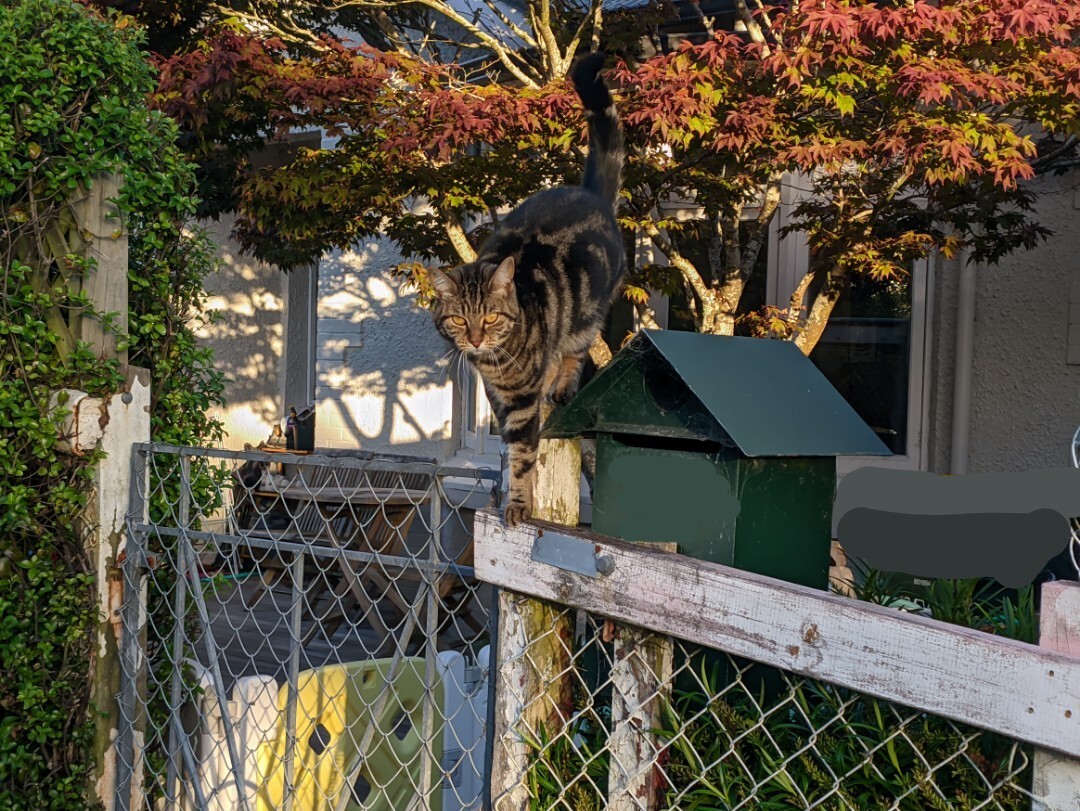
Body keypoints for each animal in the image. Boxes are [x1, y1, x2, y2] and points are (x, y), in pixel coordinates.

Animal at [425, 55, 622, 526]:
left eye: (491, 317)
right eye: (459, 319)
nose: (476, 339)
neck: (497, 361)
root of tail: (588, 193)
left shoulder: (521, 400)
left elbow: (523, 455)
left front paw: (519, 503)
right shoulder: (500, 399)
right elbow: (512, 449)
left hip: (588, 310)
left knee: (575, 350)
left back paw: (563, 384)